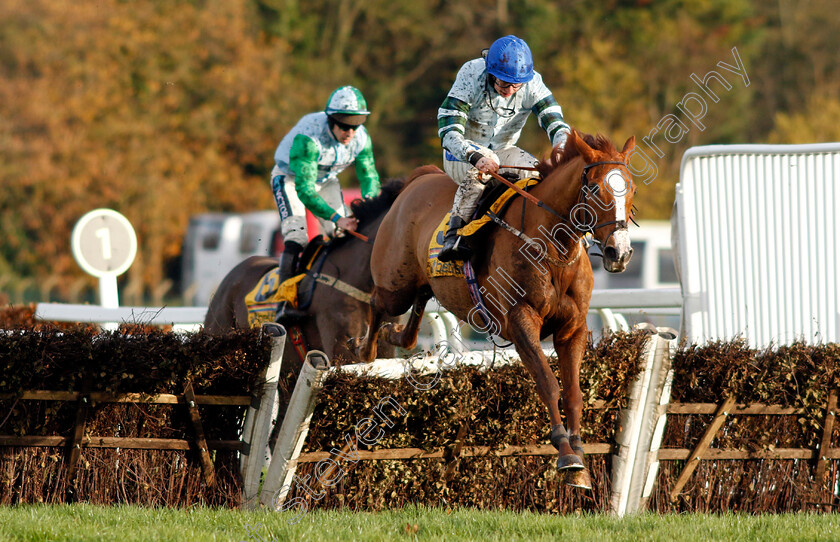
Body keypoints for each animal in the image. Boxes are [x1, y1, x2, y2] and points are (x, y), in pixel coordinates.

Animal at [354, 131, 636, 488]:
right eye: (596, 188)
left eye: (631, 187)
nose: (619, 252)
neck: (552, 247)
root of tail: (419, 179)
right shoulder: (520, 320)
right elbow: (548, 382)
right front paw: (565, 452)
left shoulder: (573, 329)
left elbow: (573, 392)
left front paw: (580, 460)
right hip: (395, 285)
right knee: (377, 302)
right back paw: (365, 351)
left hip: (422, 283)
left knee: (413, 318)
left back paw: (395, 335)